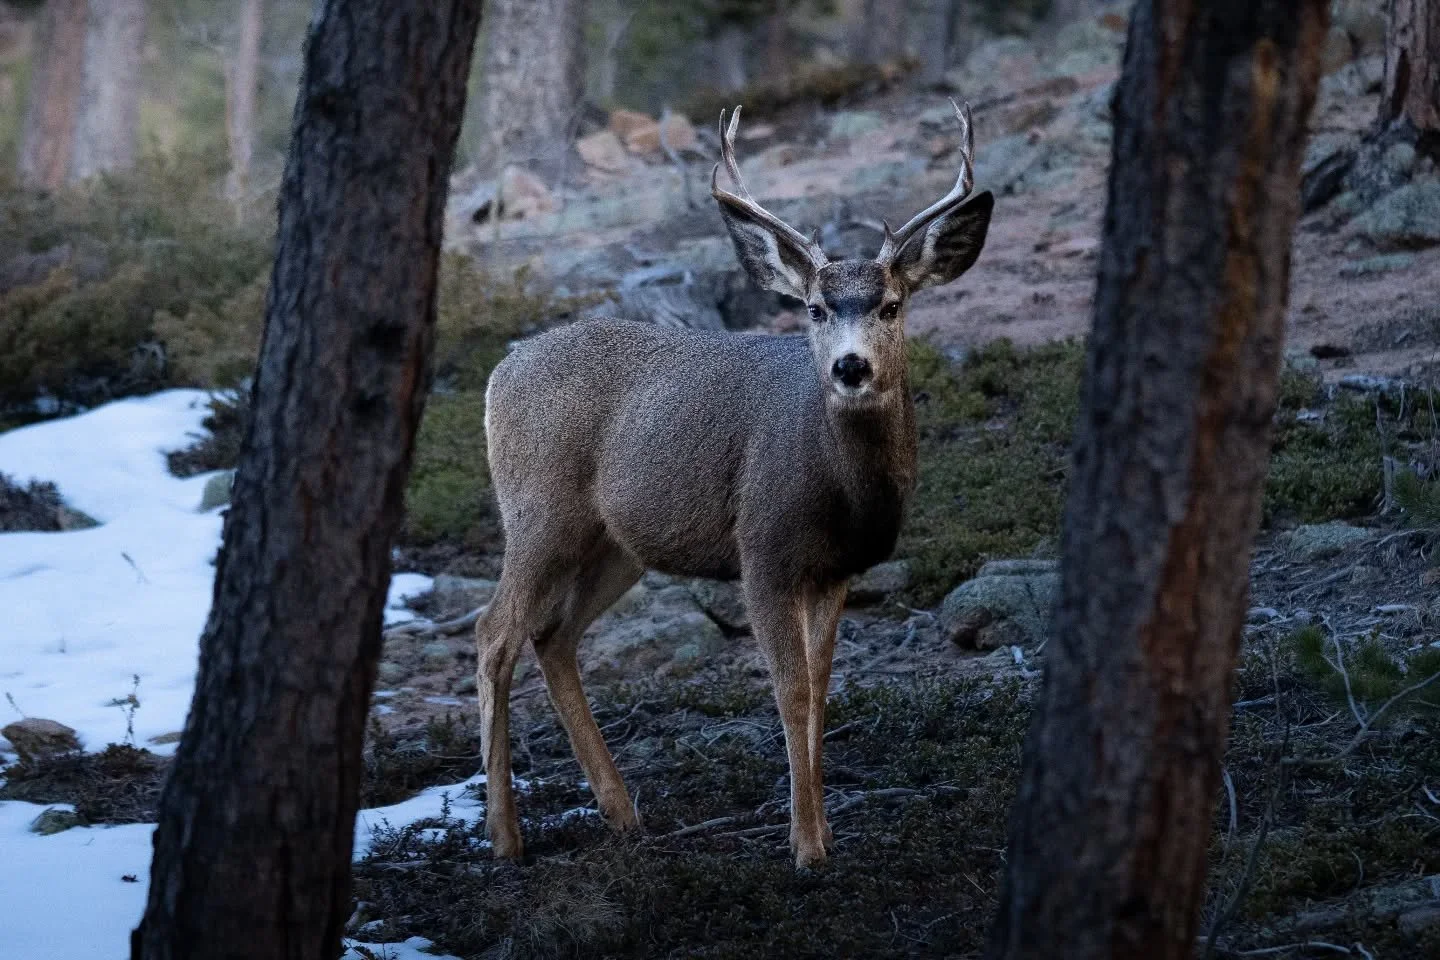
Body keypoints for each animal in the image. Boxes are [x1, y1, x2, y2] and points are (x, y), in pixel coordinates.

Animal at [474, 101, 993, 868]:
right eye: (814, 308)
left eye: (893, 305)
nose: (850, 367)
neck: (843, 493)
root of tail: (498, 373)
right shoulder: (764, 550)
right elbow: (791, 691)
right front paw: (806, 848)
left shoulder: (834, 569)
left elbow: (823, 687)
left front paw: (823, 833)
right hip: (539, 512)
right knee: (494, 633)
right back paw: (506, 838)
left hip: (617, 543)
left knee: (554, 636)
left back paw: (624, 815)